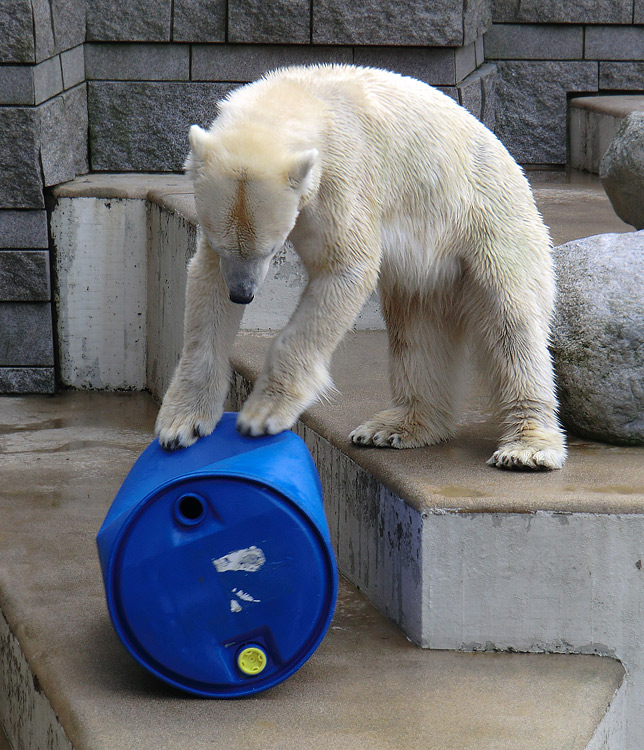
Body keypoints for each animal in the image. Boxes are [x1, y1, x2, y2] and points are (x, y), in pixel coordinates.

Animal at [157, 63, 568, 470]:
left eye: (270, 249)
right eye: (223, 245)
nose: (241, 295)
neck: (301, 95)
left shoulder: (343, 174)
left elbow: (346, 268)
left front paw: (263, 413)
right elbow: (206, 288)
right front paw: (182, 422)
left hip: (490, 227)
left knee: (511, 324)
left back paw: (526, 446)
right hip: (429, 272)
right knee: (415, 331)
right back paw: (396, 427)